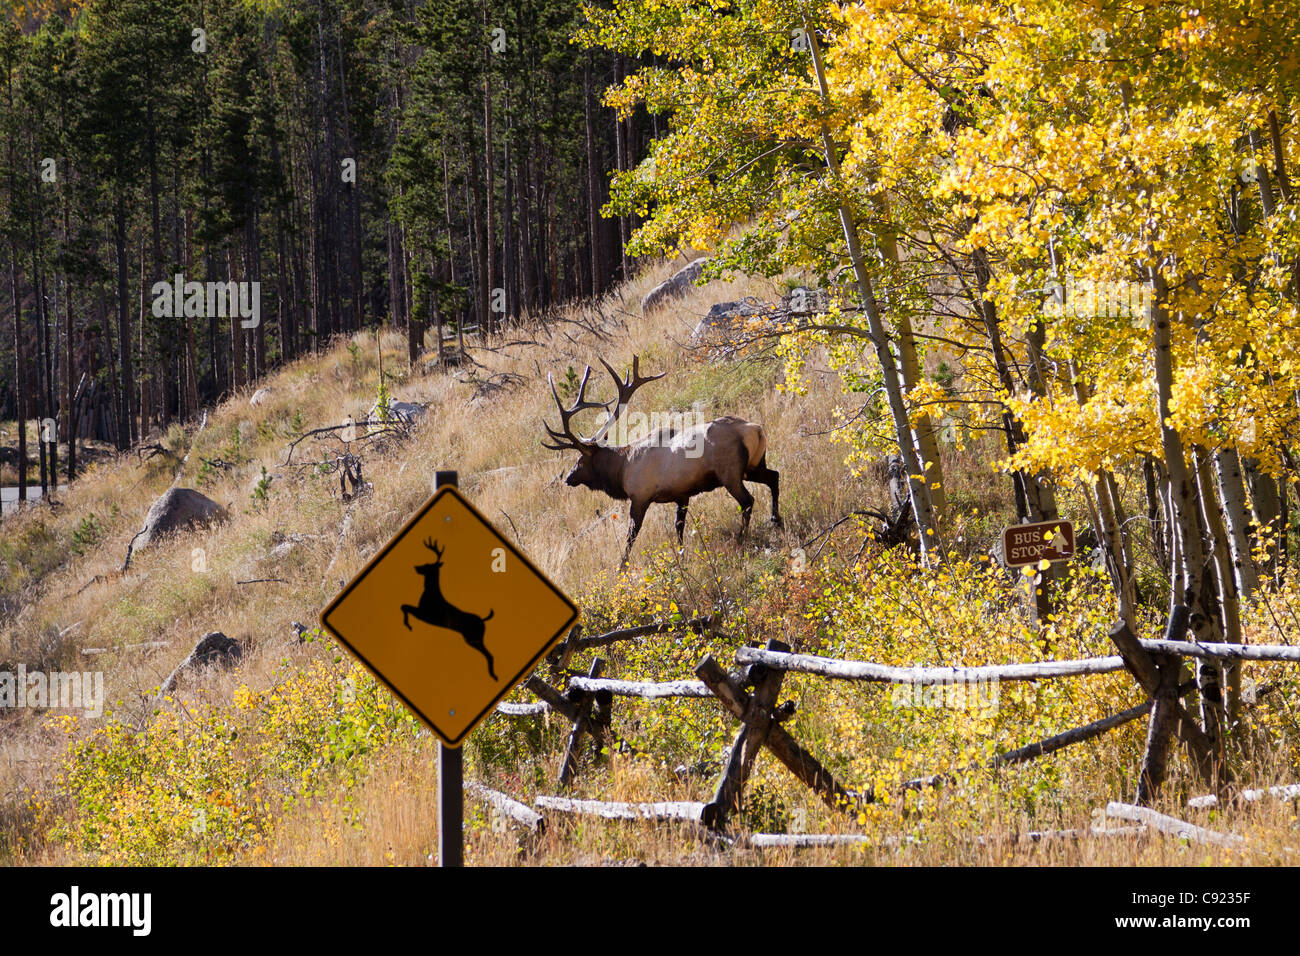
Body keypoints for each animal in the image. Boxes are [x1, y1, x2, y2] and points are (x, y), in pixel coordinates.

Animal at [540, 358, 780, 567]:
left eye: (580, 461)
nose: (568, 478)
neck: (621, 470)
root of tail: (755, 430)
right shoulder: (682, 494)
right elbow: (679, 526)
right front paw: (682, 556)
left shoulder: (640, 497)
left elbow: (631, 535)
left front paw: (622, 567)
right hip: (753, 467)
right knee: (774, 477)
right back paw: (775, 519)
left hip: (730, 474)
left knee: (748, 501)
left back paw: (742, 537)